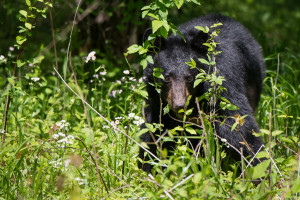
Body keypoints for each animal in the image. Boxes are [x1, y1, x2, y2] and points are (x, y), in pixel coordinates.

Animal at [138, 14, 264, 173]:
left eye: (189, 78)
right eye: (166, 78)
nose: (179, 105)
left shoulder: (221, 83)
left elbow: (238, 126)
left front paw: (259, 167)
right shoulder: (155, 99)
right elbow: (152, 129)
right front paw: (146, 168)